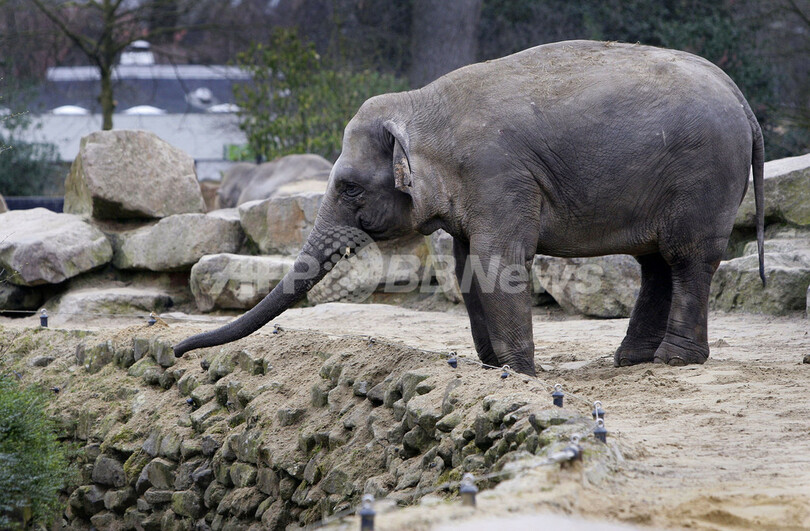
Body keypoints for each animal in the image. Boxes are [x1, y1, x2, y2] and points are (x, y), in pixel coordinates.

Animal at [174, 40, 760, 378]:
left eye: (349, 188)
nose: (180, 352)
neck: (421, 105)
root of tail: (742, 98)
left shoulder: (499, 175)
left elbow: (500, 262)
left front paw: (522, 375)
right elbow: (466, 266)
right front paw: (495, 366)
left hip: (703, 176)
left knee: (685, 258)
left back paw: (673, 361)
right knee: (655, 262)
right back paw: (631, 361)